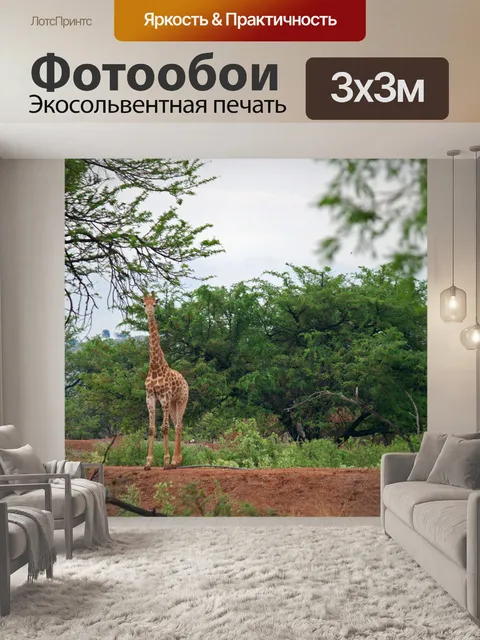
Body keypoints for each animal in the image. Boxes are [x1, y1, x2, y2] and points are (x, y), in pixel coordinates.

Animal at [143, 292, 189, 470]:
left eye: (155, 304)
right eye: (144, 304)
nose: (149, 312)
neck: (155, 367)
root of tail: (185, 381)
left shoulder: (164, 397)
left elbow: (164, 428)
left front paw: (166, 461)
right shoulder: (150, 397)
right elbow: (151, 428)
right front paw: (148, 463)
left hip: (181, 400)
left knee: (178, 426)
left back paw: (175, 461)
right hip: (174, 404)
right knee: (178, 425)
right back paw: (178, 460)